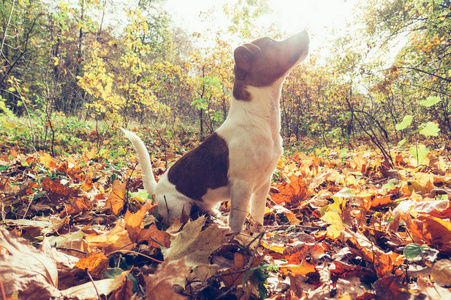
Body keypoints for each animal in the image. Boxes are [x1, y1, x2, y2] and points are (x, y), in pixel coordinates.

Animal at [122, 31, 308, 232]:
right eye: (271, 42)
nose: (305, 32)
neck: (259, 119)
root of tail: (155, 191)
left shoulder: (264, 183)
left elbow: (257, 214)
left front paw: (257, 233)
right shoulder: (242, 186)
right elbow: (237, 221)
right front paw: (237, 238)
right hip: (179, 205)